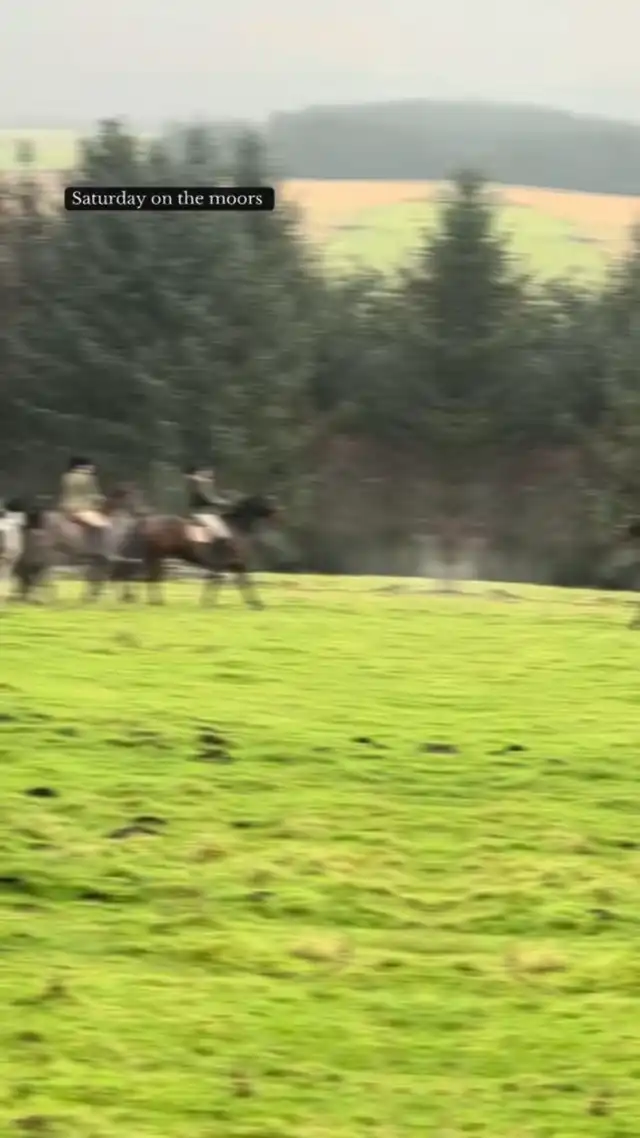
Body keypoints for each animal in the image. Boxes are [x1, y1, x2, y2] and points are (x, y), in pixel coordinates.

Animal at [110, 493, 279, 607]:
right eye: (263, 500)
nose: (276, 510)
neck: (235, 528)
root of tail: (145, 521)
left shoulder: (233, 564)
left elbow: (241, 582)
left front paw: (255, 603)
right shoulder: (226, 564)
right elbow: (223, 581)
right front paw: (208, 602)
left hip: (155, 556)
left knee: (148, 576)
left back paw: (152, 600)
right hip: (155, 555)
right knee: (150, 576)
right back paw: (154, 601)